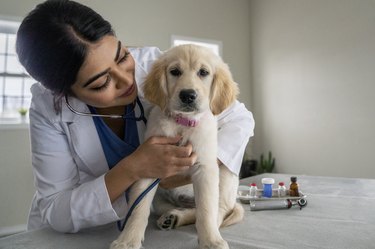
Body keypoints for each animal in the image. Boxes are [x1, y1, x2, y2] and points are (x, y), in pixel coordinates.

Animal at [109, 44, 244, 249]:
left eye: (203, 72)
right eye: (175, 72)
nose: (188, 95)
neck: (183, 123)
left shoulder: (205, 168)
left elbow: (206, 210)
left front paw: (210, 241)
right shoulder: (149, 164)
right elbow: (138, 208)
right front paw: (127, 240)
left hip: (226, 178)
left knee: (216, 211)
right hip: (161, 198)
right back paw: (172, 217)